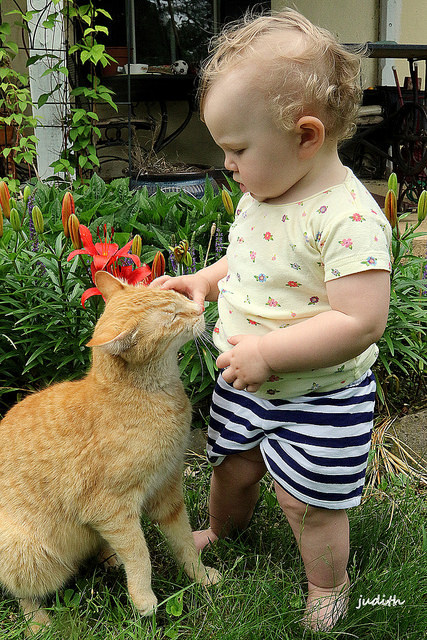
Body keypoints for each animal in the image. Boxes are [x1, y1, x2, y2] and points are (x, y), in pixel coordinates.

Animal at [0, 270, 219, 634]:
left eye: (180, 297)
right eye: (174, 316)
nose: (200, 309)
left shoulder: (167, 489)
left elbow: (184, 541)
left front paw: (200, 577)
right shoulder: (111, 509)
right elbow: (140, 554)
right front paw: (144, 600)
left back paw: (107, 556)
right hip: (23, 549)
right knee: (23, 593)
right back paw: (39, 623)